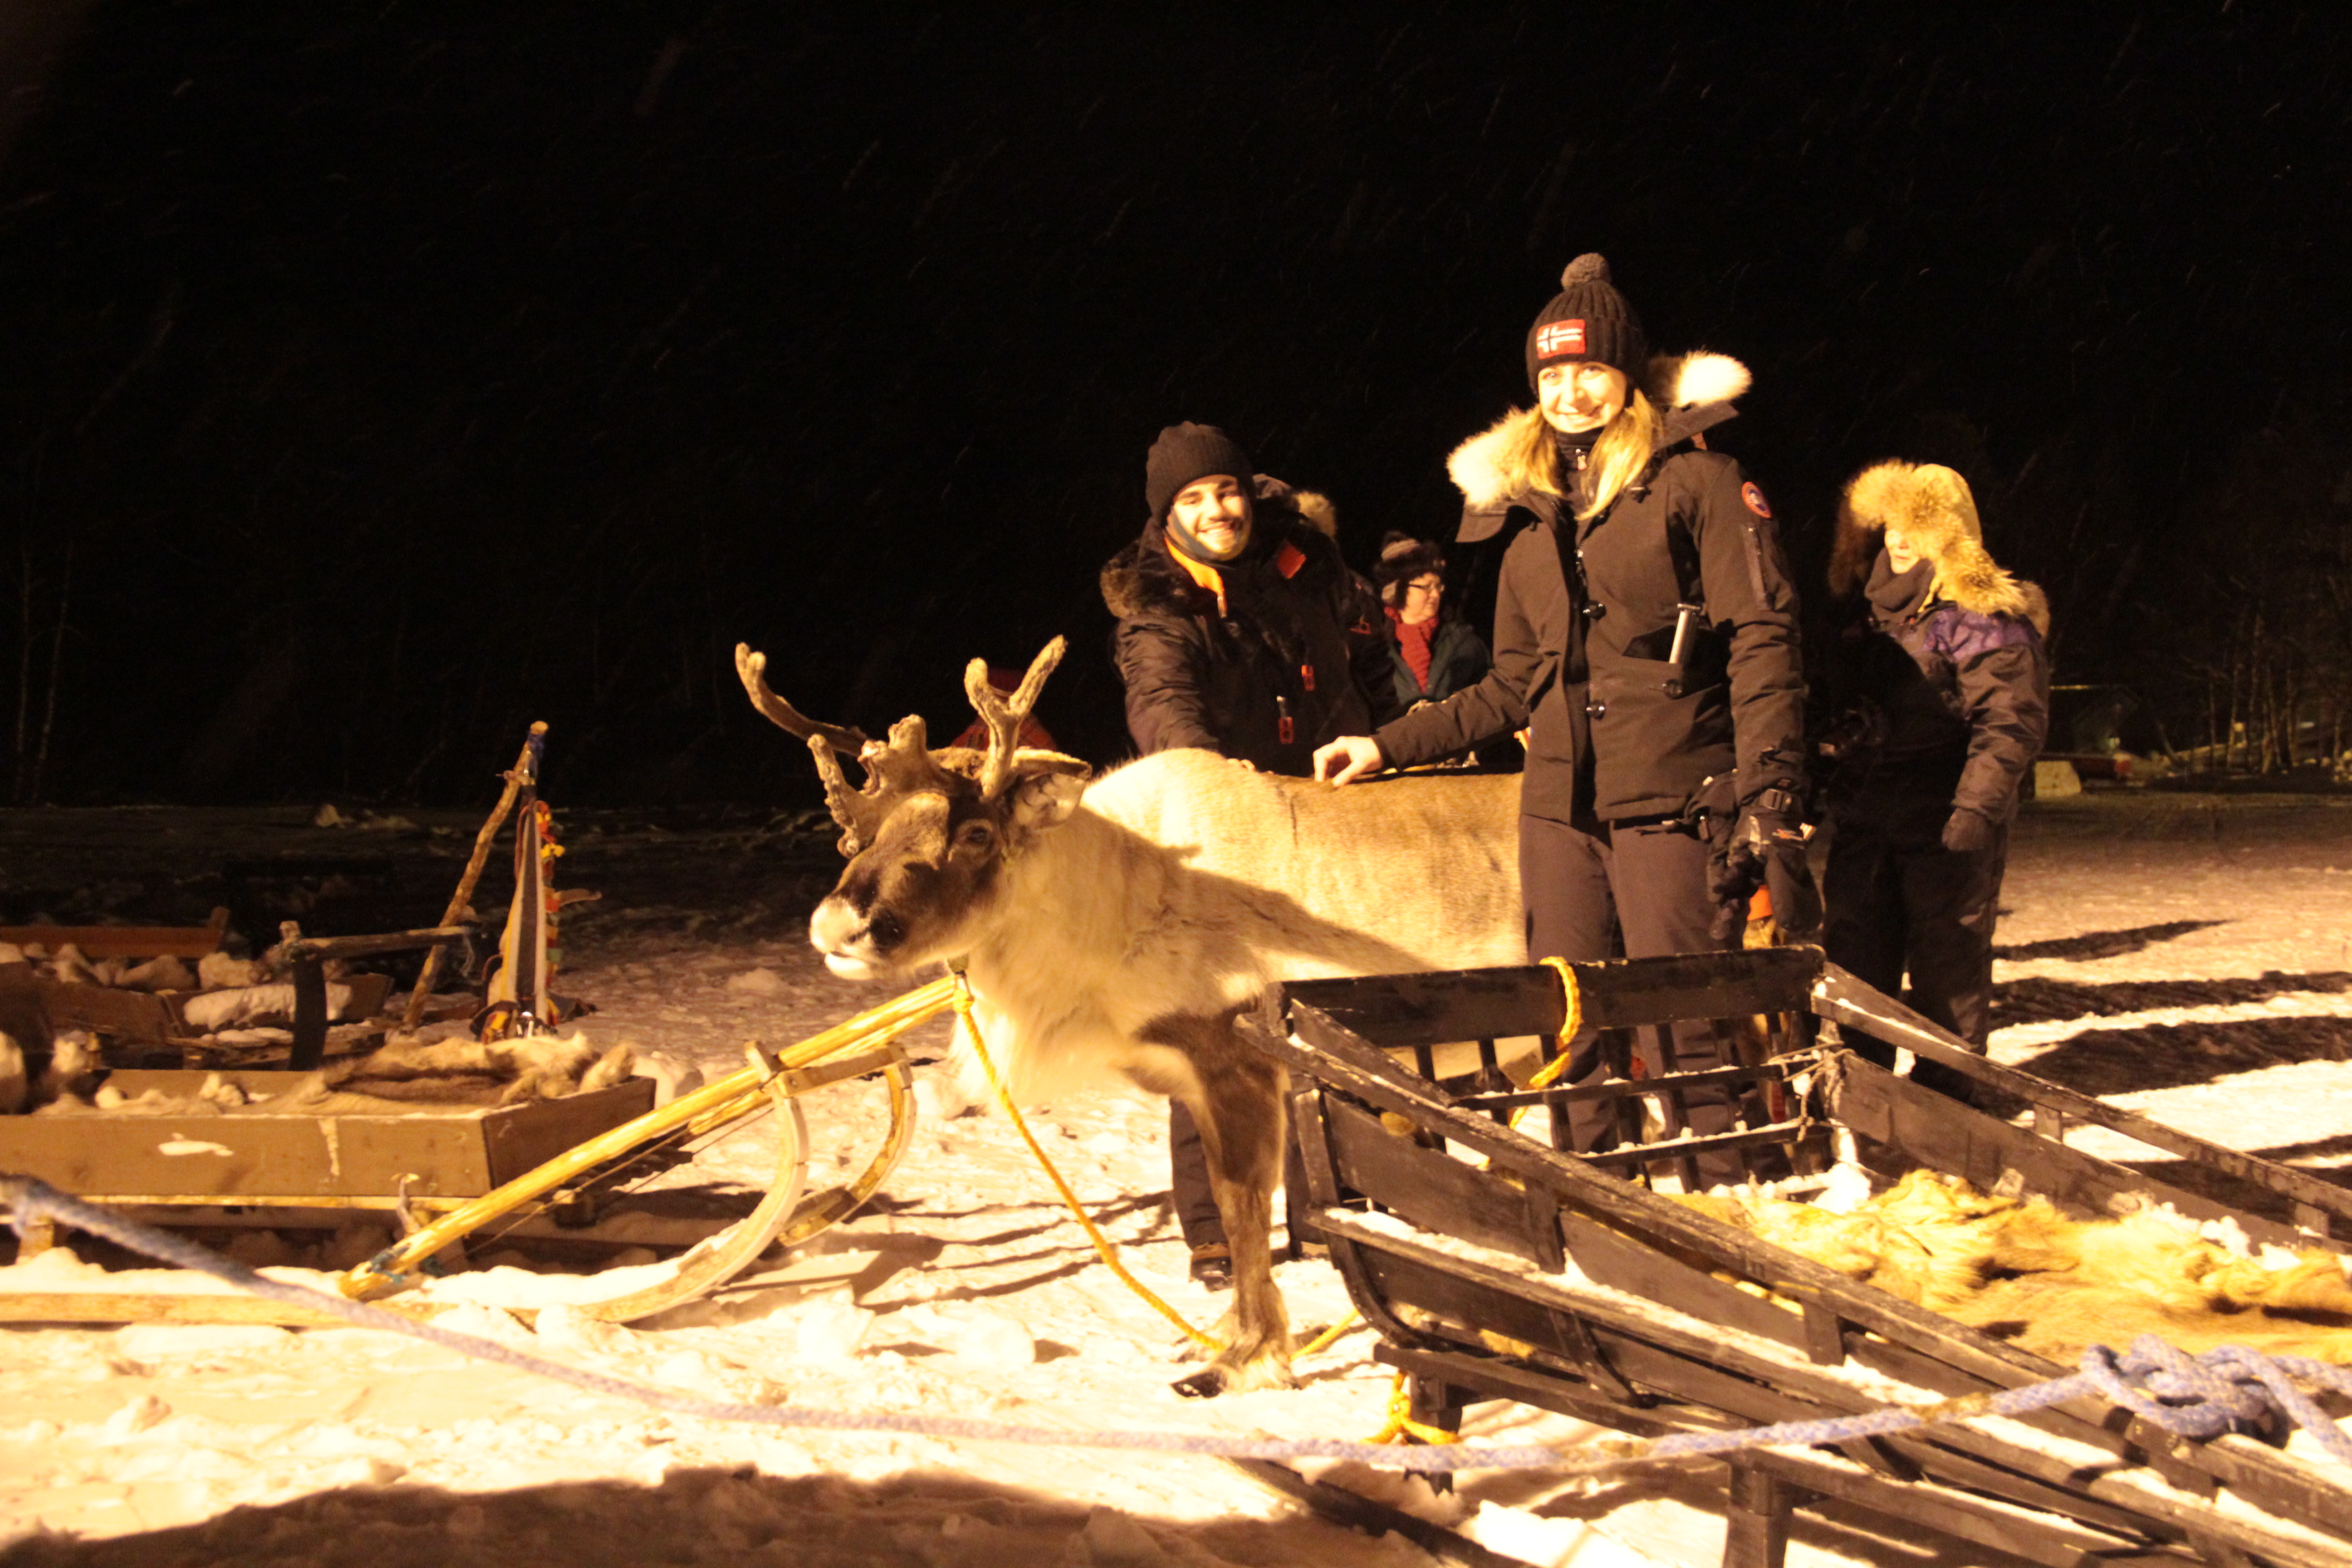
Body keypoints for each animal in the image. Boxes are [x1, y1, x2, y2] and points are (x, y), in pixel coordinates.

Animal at [733, 635, 1524, 1395]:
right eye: (862, 834)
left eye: (977, 834)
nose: (837, 927)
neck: (1113, 912)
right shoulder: (1190, 1082)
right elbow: (1228, 1211)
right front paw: (1220, 1336)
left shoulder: (1236, 1064)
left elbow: (1244, 1212)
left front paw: (1246, 1357)